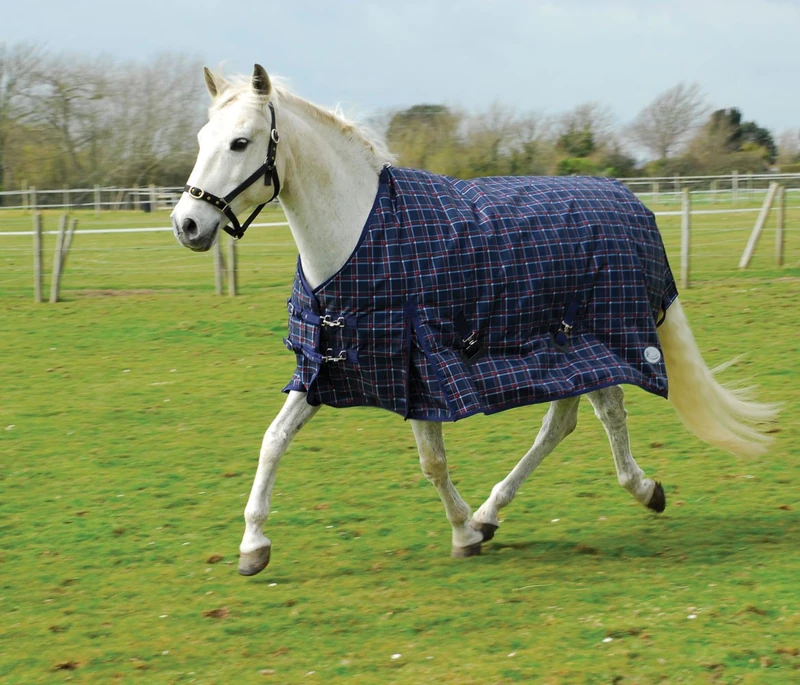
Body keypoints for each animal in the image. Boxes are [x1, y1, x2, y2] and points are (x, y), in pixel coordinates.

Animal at [171, 65, 777, 577]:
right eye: (202, 140)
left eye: (241, 142)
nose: (187, 224)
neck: (358, 236)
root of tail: (631, 202)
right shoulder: (330, 366)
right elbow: (273, 440)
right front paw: (253, 546)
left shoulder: (419, 368)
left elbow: (432, 462)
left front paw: (462, 533)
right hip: (570, 351)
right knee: (562, 423)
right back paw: (495, 512)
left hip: (598, 339)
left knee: (608, 417)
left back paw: (639, 490)